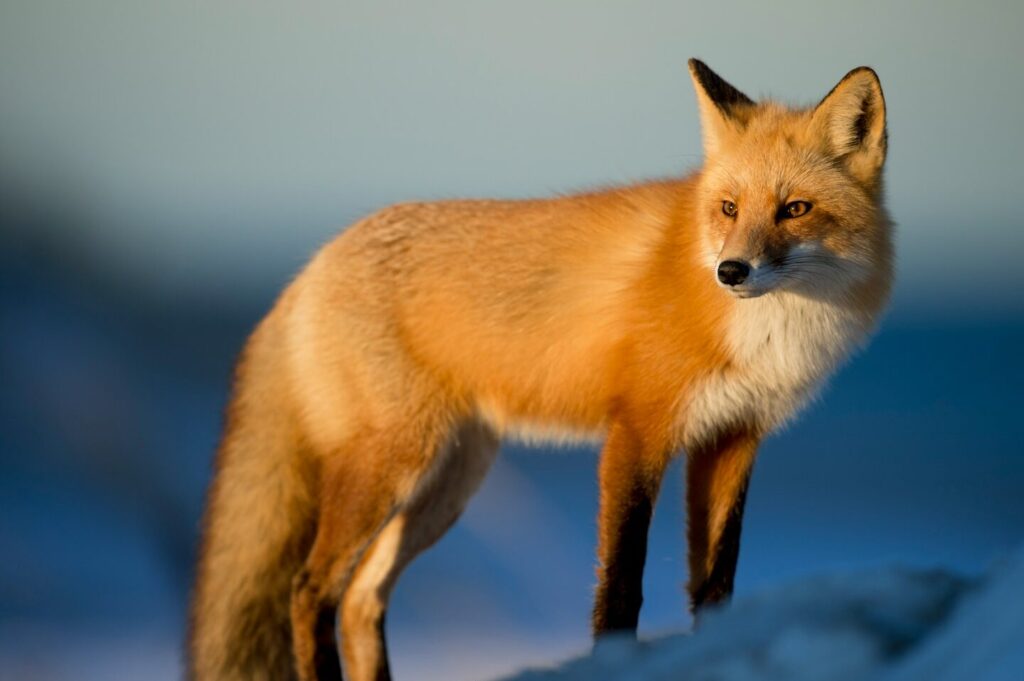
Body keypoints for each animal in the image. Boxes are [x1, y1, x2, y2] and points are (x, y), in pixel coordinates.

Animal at [188, 59, 892, 681]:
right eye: (728, 208)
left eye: (794, 209)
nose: (731, 271)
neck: (765, 333)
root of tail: (309, 269)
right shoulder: (637, 433)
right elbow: (621, 585)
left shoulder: (733, 439)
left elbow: (716, 584)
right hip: (392, 467)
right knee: (310, 591)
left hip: (447, 485)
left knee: (362, 598)